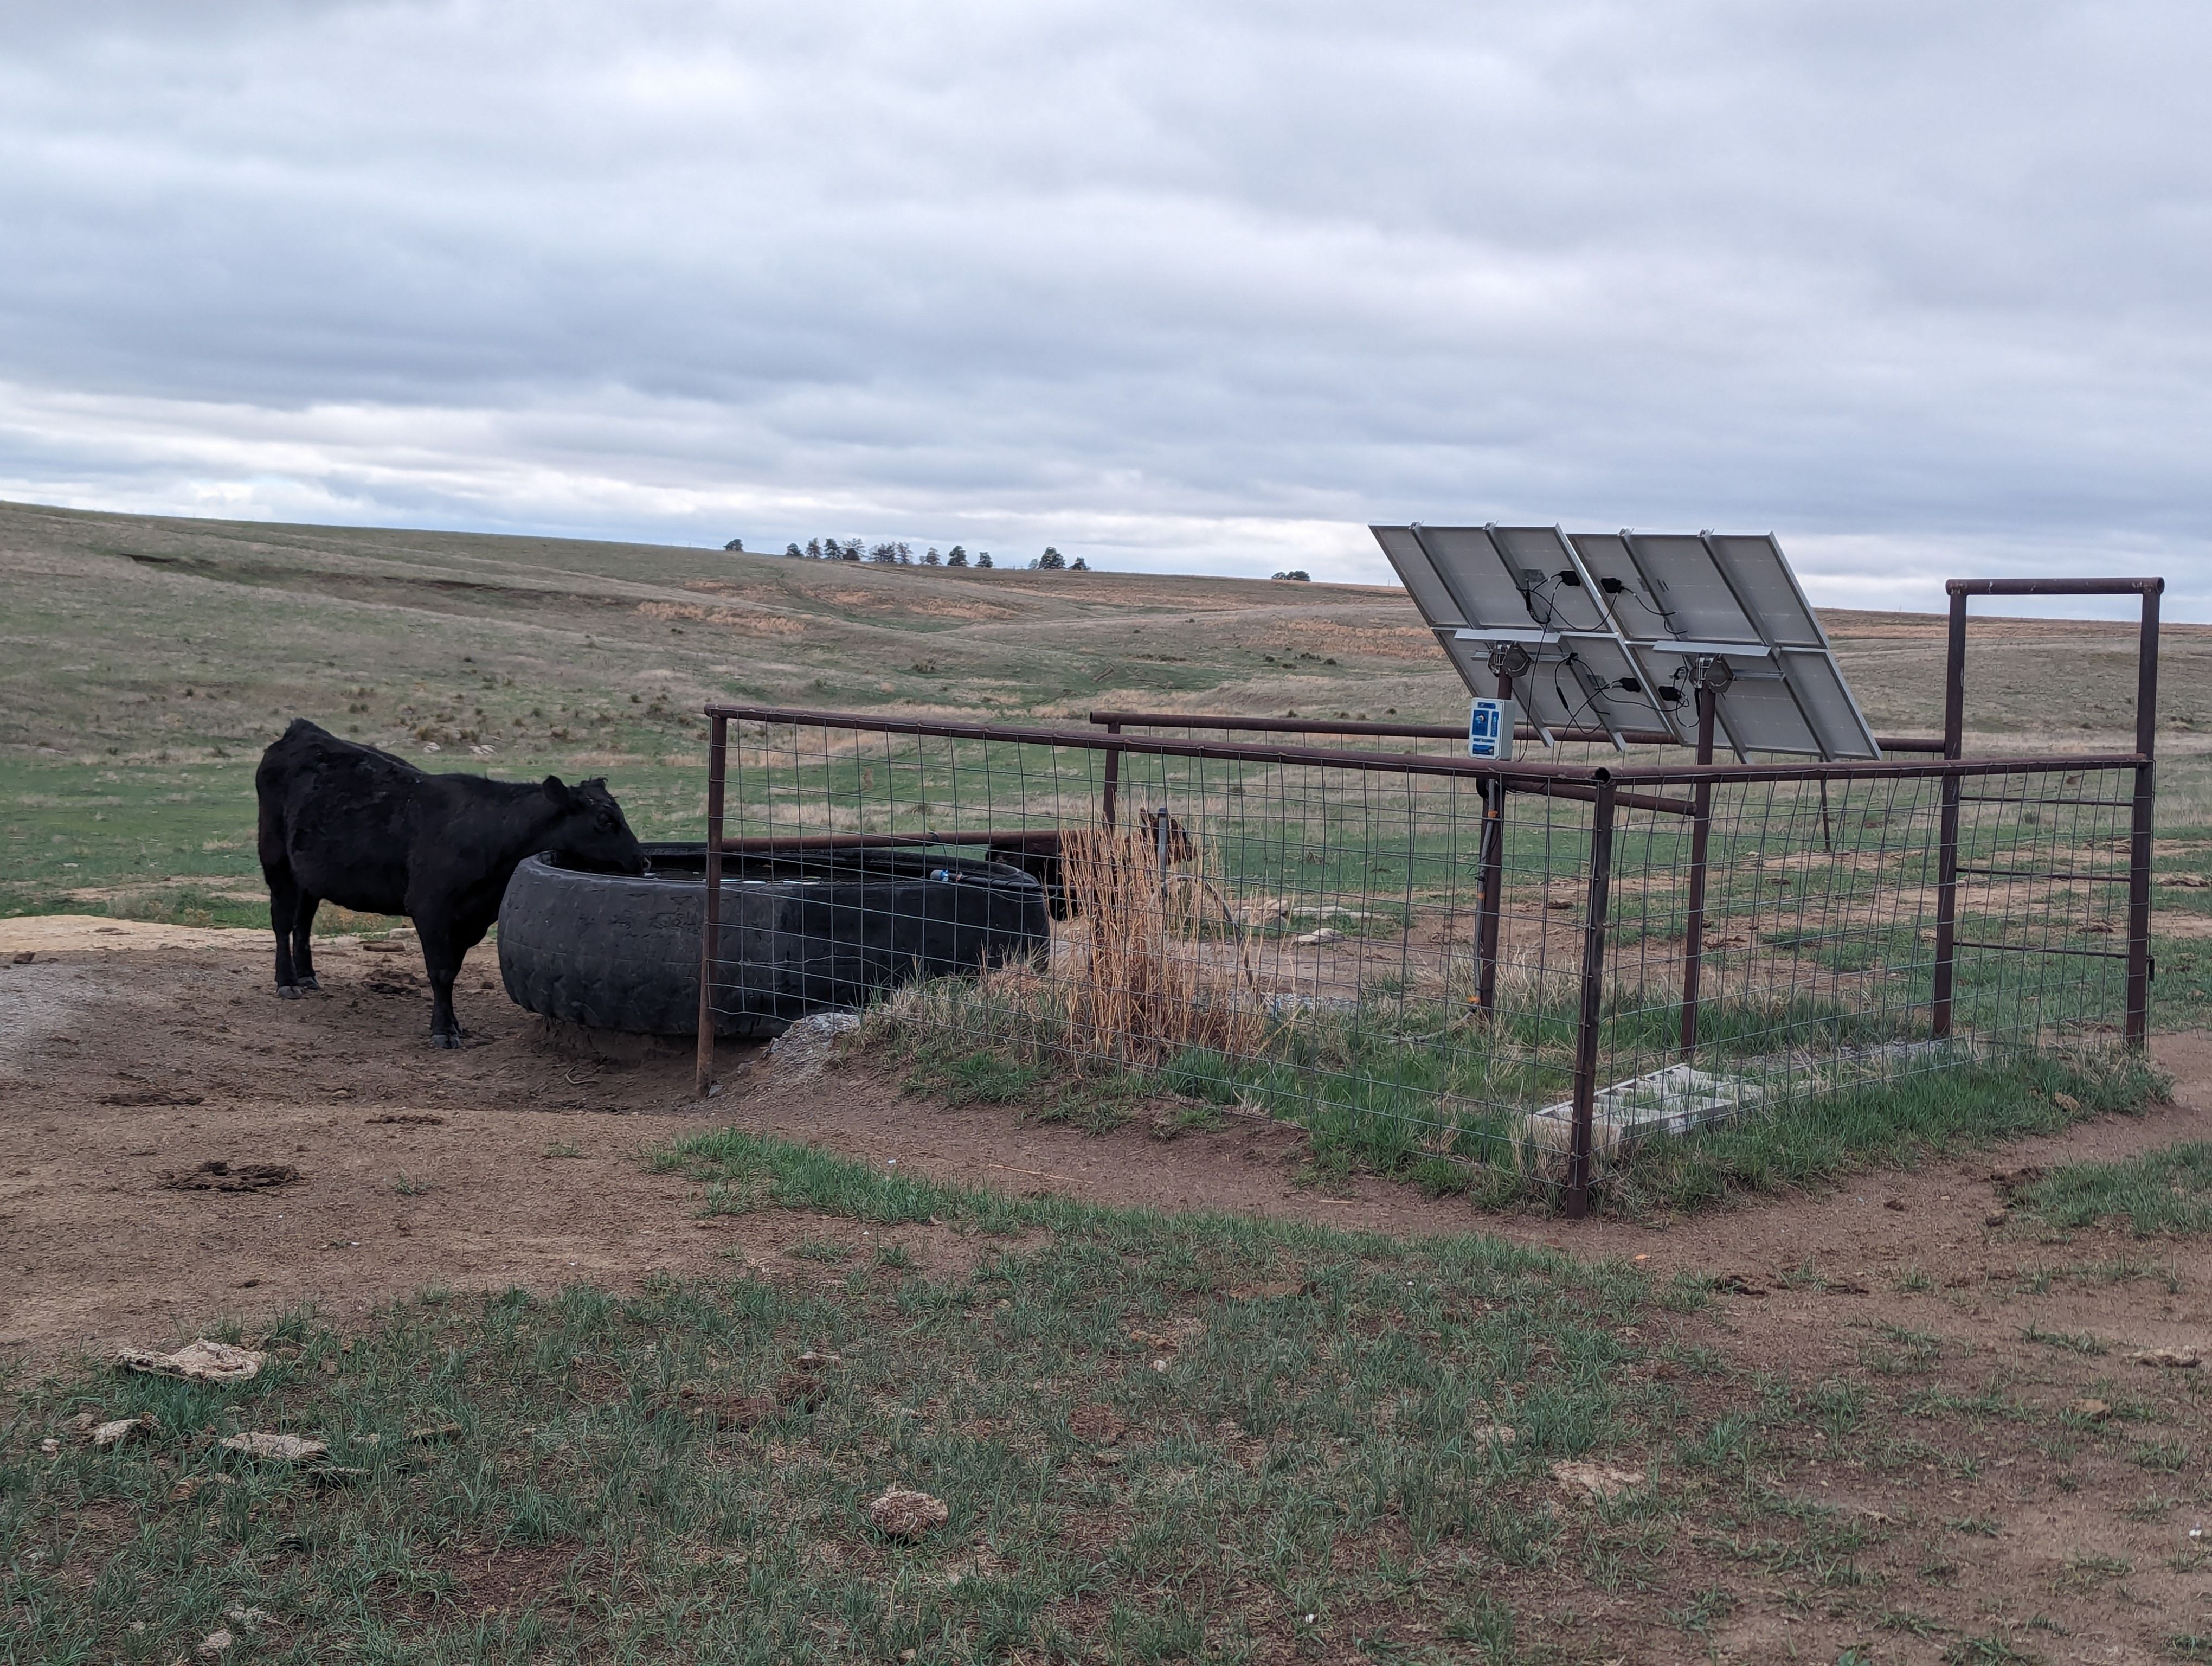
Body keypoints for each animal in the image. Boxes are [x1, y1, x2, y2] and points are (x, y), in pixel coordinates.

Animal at [256, 716, 646, 1053]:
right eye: (604, 819)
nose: (642, 861)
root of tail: (303, 730)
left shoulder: (469, 918)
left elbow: (454, 970)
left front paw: (456, 1025)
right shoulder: (431, 909)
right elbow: (441, 971)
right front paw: (443, 1030)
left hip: (308, 874)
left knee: (303, 922)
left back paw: (307, 976)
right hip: (275, 859)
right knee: (282, 921)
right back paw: (287, 982)